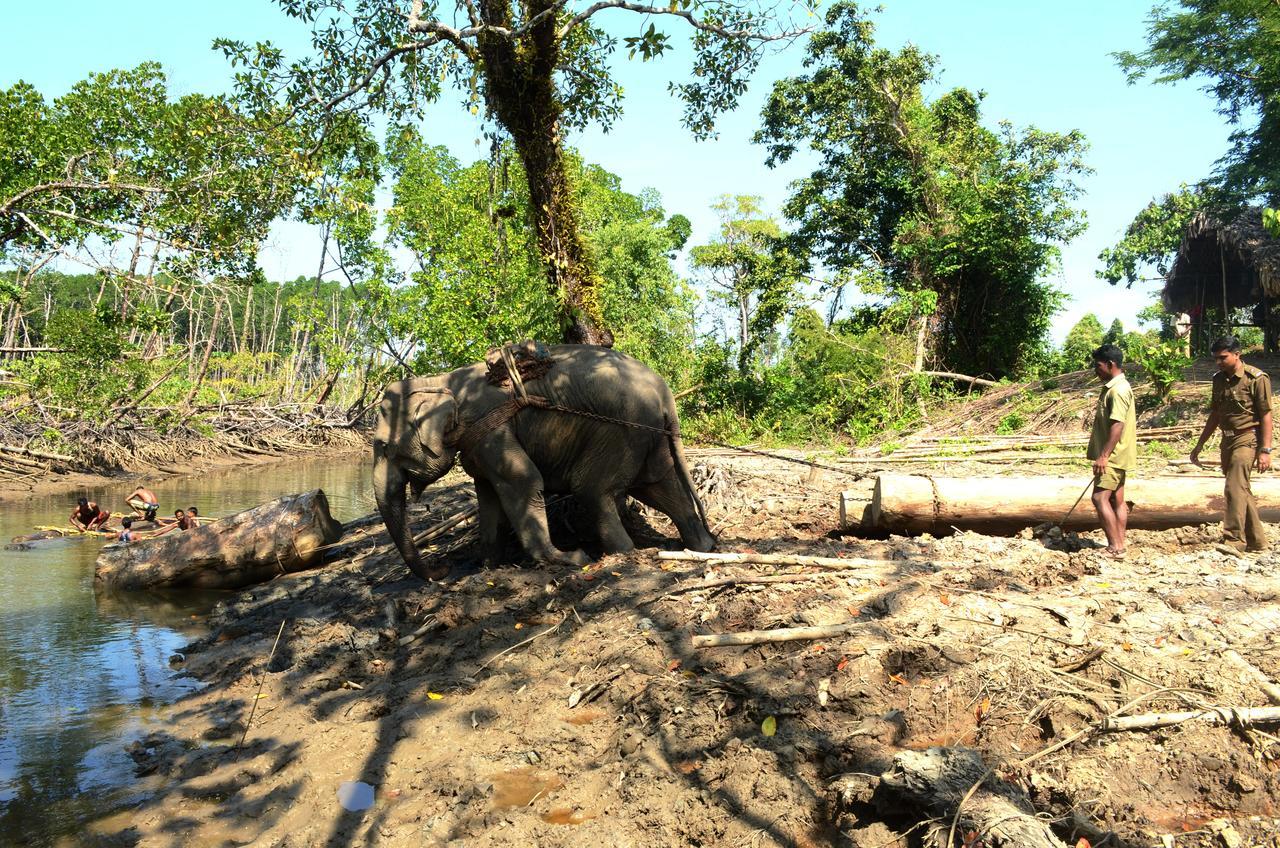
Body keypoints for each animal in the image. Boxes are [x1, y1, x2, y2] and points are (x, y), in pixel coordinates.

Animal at [371, 343, 716, 581]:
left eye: (383, 447)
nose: (440, 571)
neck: (443, 381)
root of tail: (665, 392)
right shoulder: (479, 441)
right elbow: (487, 495)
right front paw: (488, 566)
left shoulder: (493, 429)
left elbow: (524, 480)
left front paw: (568, 559)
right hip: (649, 435)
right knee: (660, 486)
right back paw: (703, 547)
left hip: (622, 430)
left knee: (593, 490)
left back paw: (619, 554)